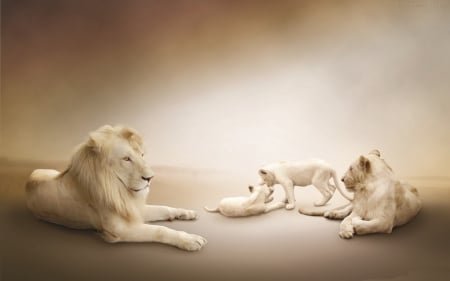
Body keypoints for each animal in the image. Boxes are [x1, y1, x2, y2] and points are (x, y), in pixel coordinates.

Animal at [25, 124, 207, 249]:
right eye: (126, 159)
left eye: (142, 155)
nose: (150, 178)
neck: (120, 191)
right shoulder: (120, 230)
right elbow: (159, 230)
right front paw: (189, 239)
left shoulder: (132, 209)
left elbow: (164, 208)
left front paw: (186, 213)